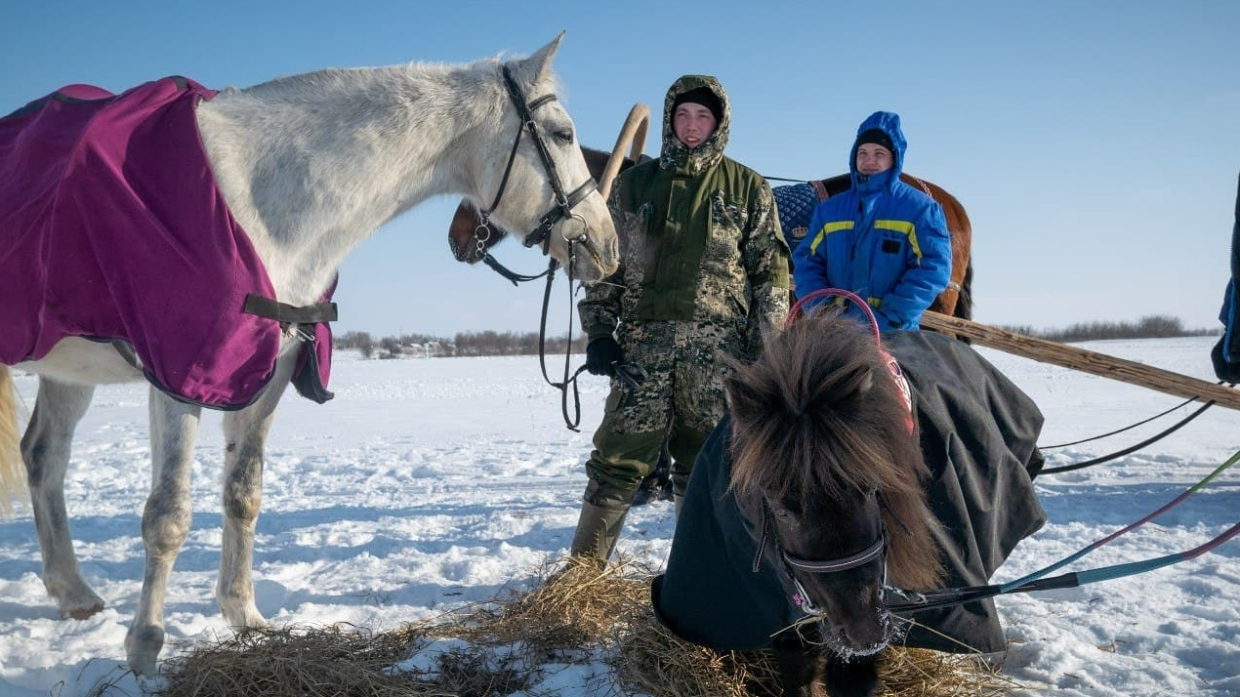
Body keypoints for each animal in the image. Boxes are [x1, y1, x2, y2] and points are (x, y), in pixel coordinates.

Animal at [0, 32, 617, 674]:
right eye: (563, 134)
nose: (607, 246)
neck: (260, 203)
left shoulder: (270, 371)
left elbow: (243, 494)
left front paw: (245, 617)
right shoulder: (177, 375)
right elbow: (167, 515)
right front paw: (145, 646)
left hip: (69, 371)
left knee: (43, 457)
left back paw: (73, 593)